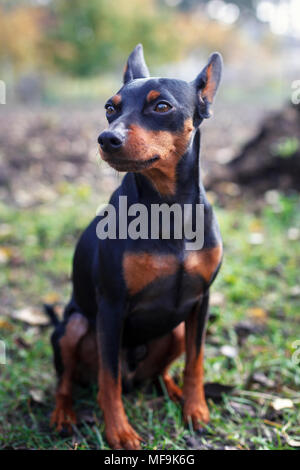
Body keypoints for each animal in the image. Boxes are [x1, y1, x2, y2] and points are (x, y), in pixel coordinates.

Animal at [49, 45, 223, 452]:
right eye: (110, 108)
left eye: (161, 107)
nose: (106, 138)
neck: (168, 208)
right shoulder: (112, 307)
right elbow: (108, 381)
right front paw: (119, 432)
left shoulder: (201, 300)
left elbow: (196, 361)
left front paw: (196, 409)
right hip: (73, 326)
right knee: (71, 381)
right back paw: (63, 414)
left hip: (177, 330)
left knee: (159, 373)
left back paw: (173, 391)